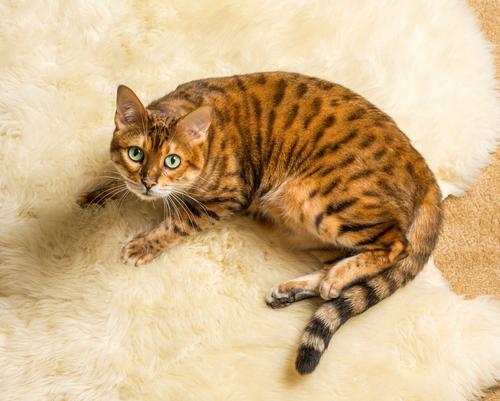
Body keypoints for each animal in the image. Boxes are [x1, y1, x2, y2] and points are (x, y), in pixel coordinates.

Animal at [77, 72, 442, 376]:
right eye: (135, 154)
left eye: (172, 161)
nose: (149, 182)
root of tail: (424, 168)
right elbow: (117, 184)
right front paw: (97, 195)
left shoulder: (227, 198)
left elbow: (176, 224)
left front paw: (142, 245)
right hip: (303, 225)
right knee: (339, 264)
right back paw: (296, 289)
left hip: (323, 202)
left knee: (396, 245)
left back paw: (337, 278)